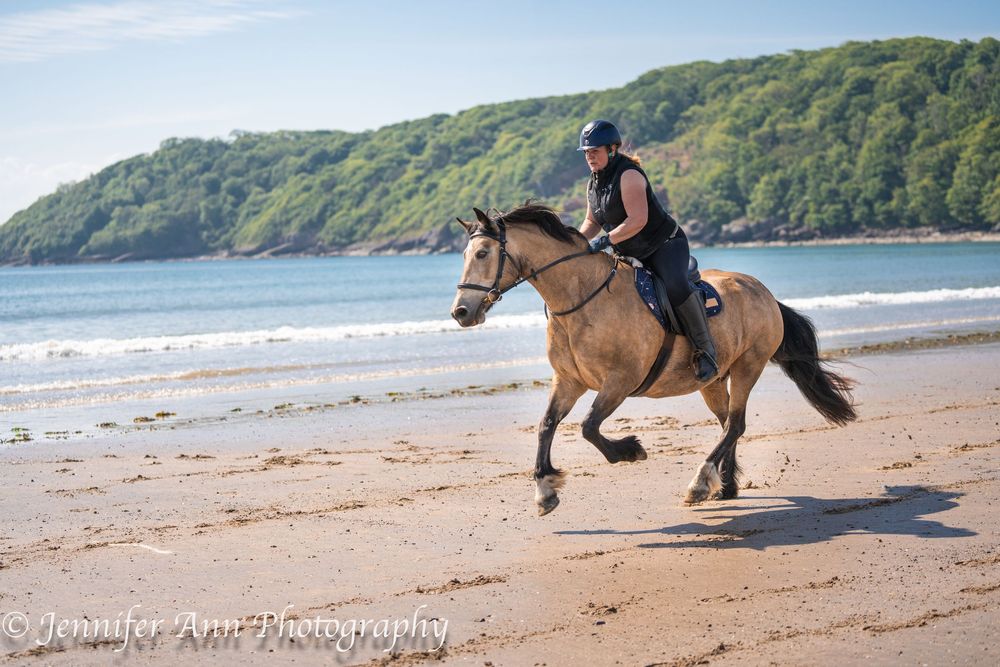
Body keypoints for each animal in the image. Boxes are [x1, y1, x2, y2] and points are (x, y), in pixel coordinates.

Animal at [450, 203, 857, 516]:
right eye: (466, 255)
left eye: (483, 254)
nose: (461, 312)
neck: (580, 298)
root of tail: (763, 291)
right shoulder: (569, 381)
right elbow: (546, 426)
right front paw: (545, 492)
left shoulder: (620, 381)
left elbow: (588, 427)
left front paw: (630, 450)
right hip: (713, 380)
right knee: (728, 423)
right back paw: (725, 486)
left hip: (748, 366)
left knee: (735, 424)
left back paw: (699, 484)